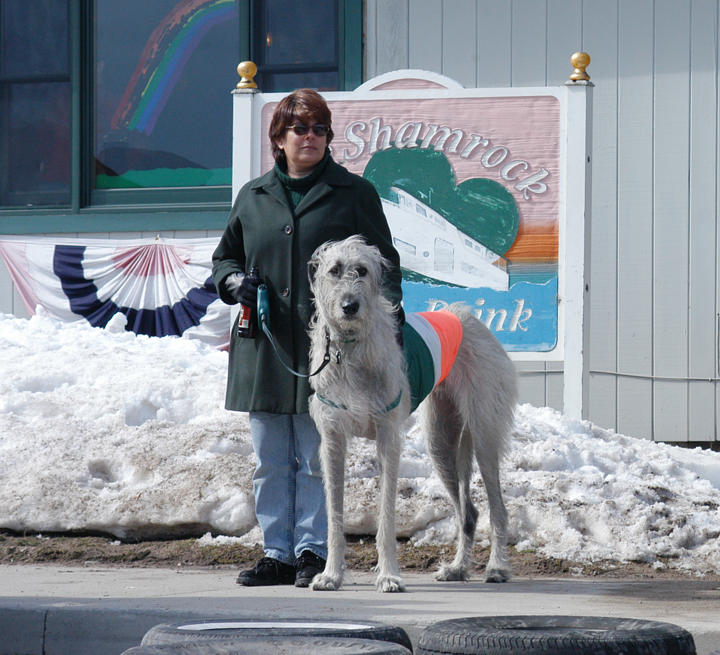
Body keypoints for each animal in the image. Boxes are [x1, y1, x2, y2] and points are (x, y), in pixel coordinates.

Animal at [306, 237, 516, 596]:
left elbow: (386, 515)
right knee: (469, 512)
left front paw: (389, 575)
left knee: (497, 507)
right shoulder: (332, 440)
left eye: (362, 270)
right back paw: (458, 568)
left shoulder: (388, 437)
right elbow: (334, 516)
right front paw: (331, 574)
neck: (350, 349)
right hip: (441, 441)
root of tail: (467, 315)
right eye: (334, 270)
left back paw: (498, 567)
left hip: (483, 431)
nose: (349, 306)